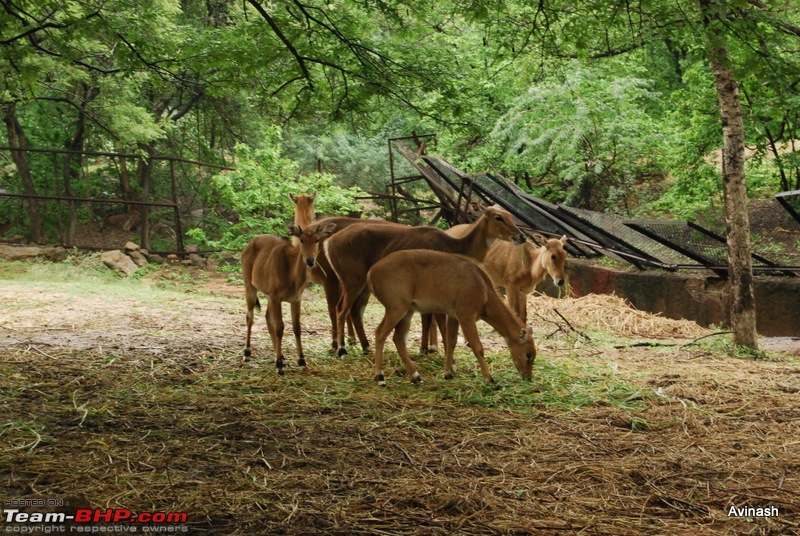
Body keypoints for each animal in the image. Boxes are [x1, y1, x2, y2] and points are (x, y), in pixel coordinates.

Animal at [241, 224, 334, 374]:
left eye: (317, 240)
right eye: (301, 240)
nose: (310, 260)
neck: (291, 273)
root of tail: (251, 243)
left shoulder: (295, 299)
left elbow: (297, 327)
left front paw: (301, 361)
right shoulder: (276, 297)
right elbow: (280, 327)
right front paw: (279, 366)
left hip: (268, 295)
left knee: (268, 318)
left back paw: (280, 356)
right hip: (250, 285)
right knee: (250, 317)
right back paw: (247, 353)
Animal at [322, 204, 528, 356]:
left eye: (510, 215)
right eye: (498, 217)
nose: (521, 236)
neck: (456, 245)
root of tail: (329, 242)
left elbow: (427, 319)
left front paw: (425, 348)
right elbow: (437, 321)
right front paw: (438, 351)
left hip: (362, 284)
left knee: (355, 310)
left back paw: (365, 346)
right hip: (352, 280)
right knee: (341, 309)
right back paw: (341, 348)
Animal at [368, 250, 536, 386]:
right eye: (528, 353)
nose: (527, 377)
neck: (484, 289)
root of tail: (371, 272)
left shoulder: (453, 316)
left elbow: (451, 342)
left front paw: (448, 374)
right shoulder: (466, 315)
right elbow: (477, 347)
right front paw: (489, 379)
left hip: (408, 311)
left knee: (398, 338)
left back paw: (416, 377)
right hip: (396, 308)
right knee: (380, 333)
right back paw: (380, 378)